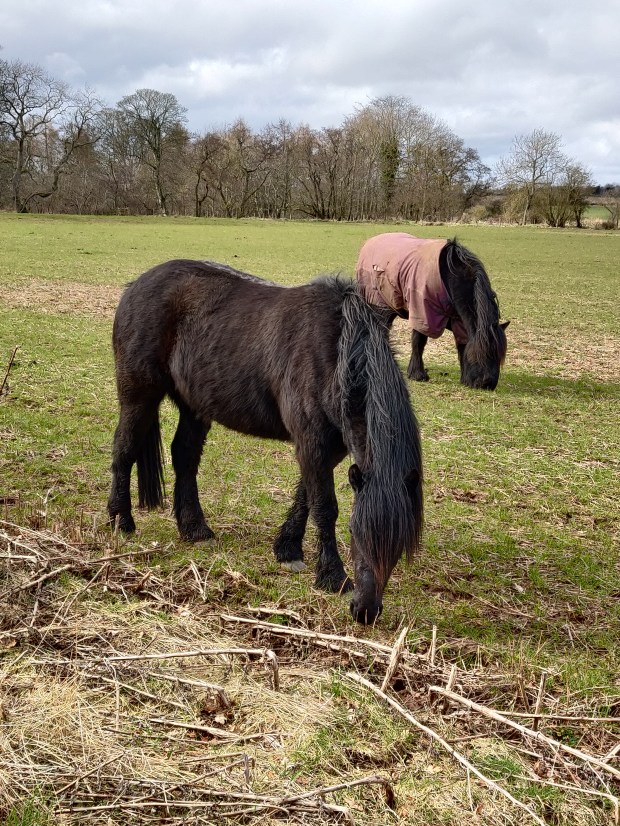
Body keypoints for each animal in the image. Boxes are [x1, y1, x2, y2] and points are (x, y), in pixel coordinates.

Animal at [107, 259, 423, 625]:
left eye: (399, 547)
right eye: (356, 534)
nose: (366, 611)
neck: (335, 354)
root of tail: (136, 285)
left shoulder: (327, 448)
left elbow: (306, 497)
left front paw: (287, 549)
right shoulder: (311, 443)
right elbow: (324, 506)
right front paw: (332, 576)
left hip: (194, 406)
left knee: (184, 457)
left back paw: (195, 529)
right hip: (139, 395)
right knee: (124, 449)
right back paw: (120, 521)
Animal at [356, 233, 509, 389]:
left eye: (500, 356)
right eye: (484, 353)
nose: (487, 384)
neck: (450, 276)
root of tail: (370, 242)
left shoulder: (459, 321)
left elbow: (462, 345)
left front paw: (465, 378)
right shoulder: (422, 312)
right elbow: (419, 342)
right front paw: (417, 374)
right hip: (378, 305)